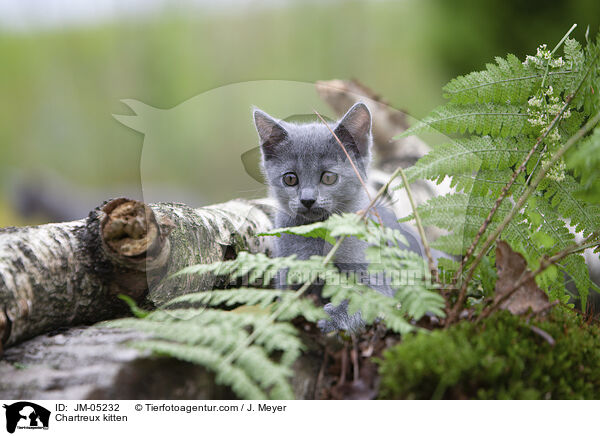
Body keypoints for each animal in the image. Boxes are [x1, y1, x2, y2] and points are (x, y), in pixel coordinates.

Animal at [253, 103, 422, 334]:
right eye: (290, 179)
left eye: (328, 177)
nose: (307, 199)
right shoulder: (288, 272)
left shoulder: (374, 277)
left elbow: (364, 299)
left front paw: (331, 319)